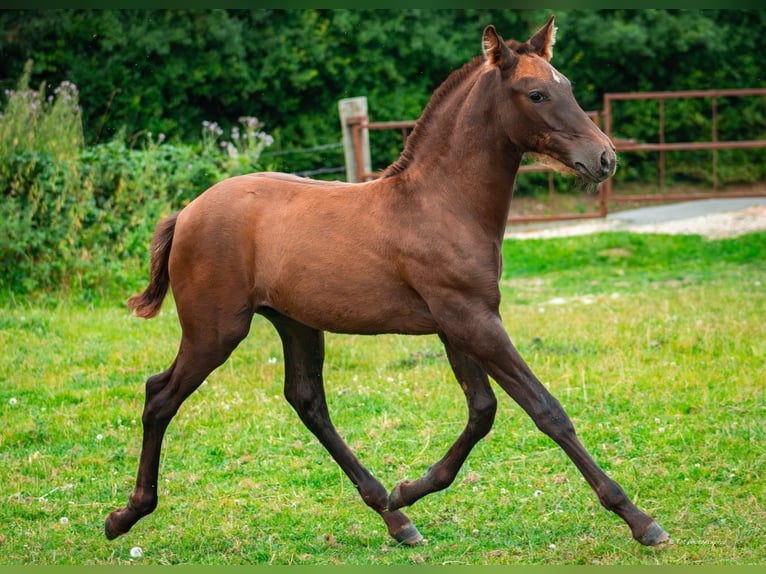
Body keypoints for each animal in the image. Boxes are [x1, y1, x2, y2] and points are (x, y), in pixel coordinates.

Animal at [105, 16, 668, 548]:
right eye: (536, 94)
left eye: (566, 84)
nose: (605, 158)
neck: (441, 203)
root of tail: (186, 212)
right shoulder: (472, 318)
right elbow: (545, 409)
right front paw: (640, 520)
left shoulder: (459, 323)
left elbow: (482, 411)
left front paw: (410, 489)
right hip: (216, 329)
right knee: (160, 395)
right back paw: (124, 516)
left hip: (295, 323)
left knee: (307, 402)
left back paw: (395, 516)